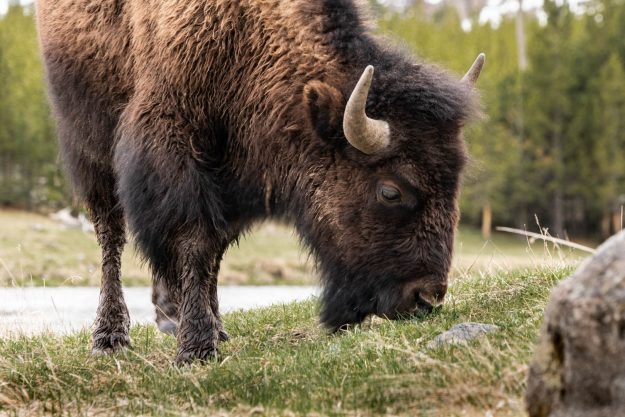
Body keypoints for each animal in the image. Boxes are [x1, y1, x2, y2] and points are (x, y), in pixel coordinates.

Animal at [36, 0, 486, 360]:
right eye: (390, 190)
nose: (426, 296)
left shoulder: (235, 175)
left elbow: (213, 250)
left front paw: (209, 329)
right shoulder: (174, 146)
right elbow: (193, 242)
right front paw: (196, 349)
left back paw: (174, 317)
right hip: (89, 143)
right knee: (110, 233)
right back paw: (110, 338)